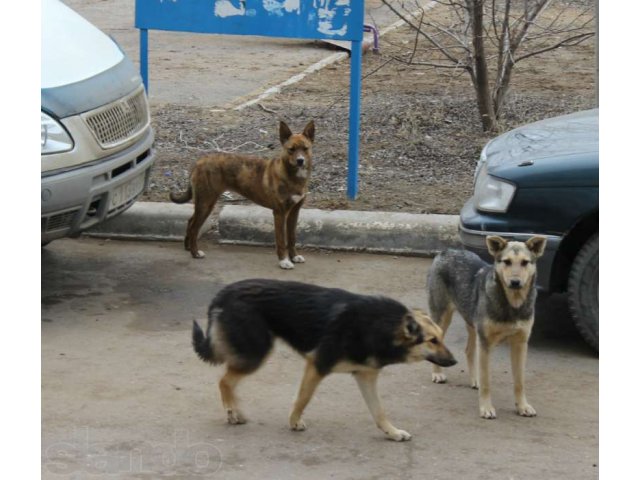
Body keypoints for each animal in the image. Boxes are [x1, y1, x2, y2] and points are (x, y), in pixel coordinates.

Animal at [170, 120, 316, 268]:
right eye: (291, 149)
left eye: (305, 148)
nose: (300, 160)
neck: (292, 176)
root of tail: (198, 162)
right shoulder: (279, 213)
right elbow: (281, 240)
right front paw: (284, 261)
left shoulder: (294, 212)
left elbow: (292, 238)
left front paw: (294, 256)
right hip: (206, 202)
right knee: (194, 227)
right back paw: (195, 253)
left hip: (203, 203)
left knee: (190, 221)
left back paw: (188, 247)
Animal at [190, 278, 456, 442]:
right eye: (432, 340)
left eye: (442, 337)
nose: (454, 362)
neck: (383, 327)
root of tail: (223, 293)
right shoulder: (317, 365)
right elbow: (302, 399)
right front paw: (294, 422)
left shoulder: (366, 377)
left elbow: (379, 411)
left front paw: (392, 432)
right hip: (256, 354)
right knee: (224, 381)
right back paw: (232, 411)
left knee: (229, 380)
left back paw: (235, 410)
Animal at [428, 237, 548, 420]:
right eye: (506, 262)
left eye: (525, 262)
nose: (515, 282)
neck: (512, 304)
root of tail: (447, 251)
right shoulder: (485, 343)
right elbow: (486, 382)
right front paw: (486, 408)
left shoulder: (520, 344)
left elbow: (519, 381)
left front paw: (522, 406)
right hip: (442, 317)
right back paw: (437, 373)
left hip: (471, 322)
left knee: (469, 350)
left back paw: (473, 379)